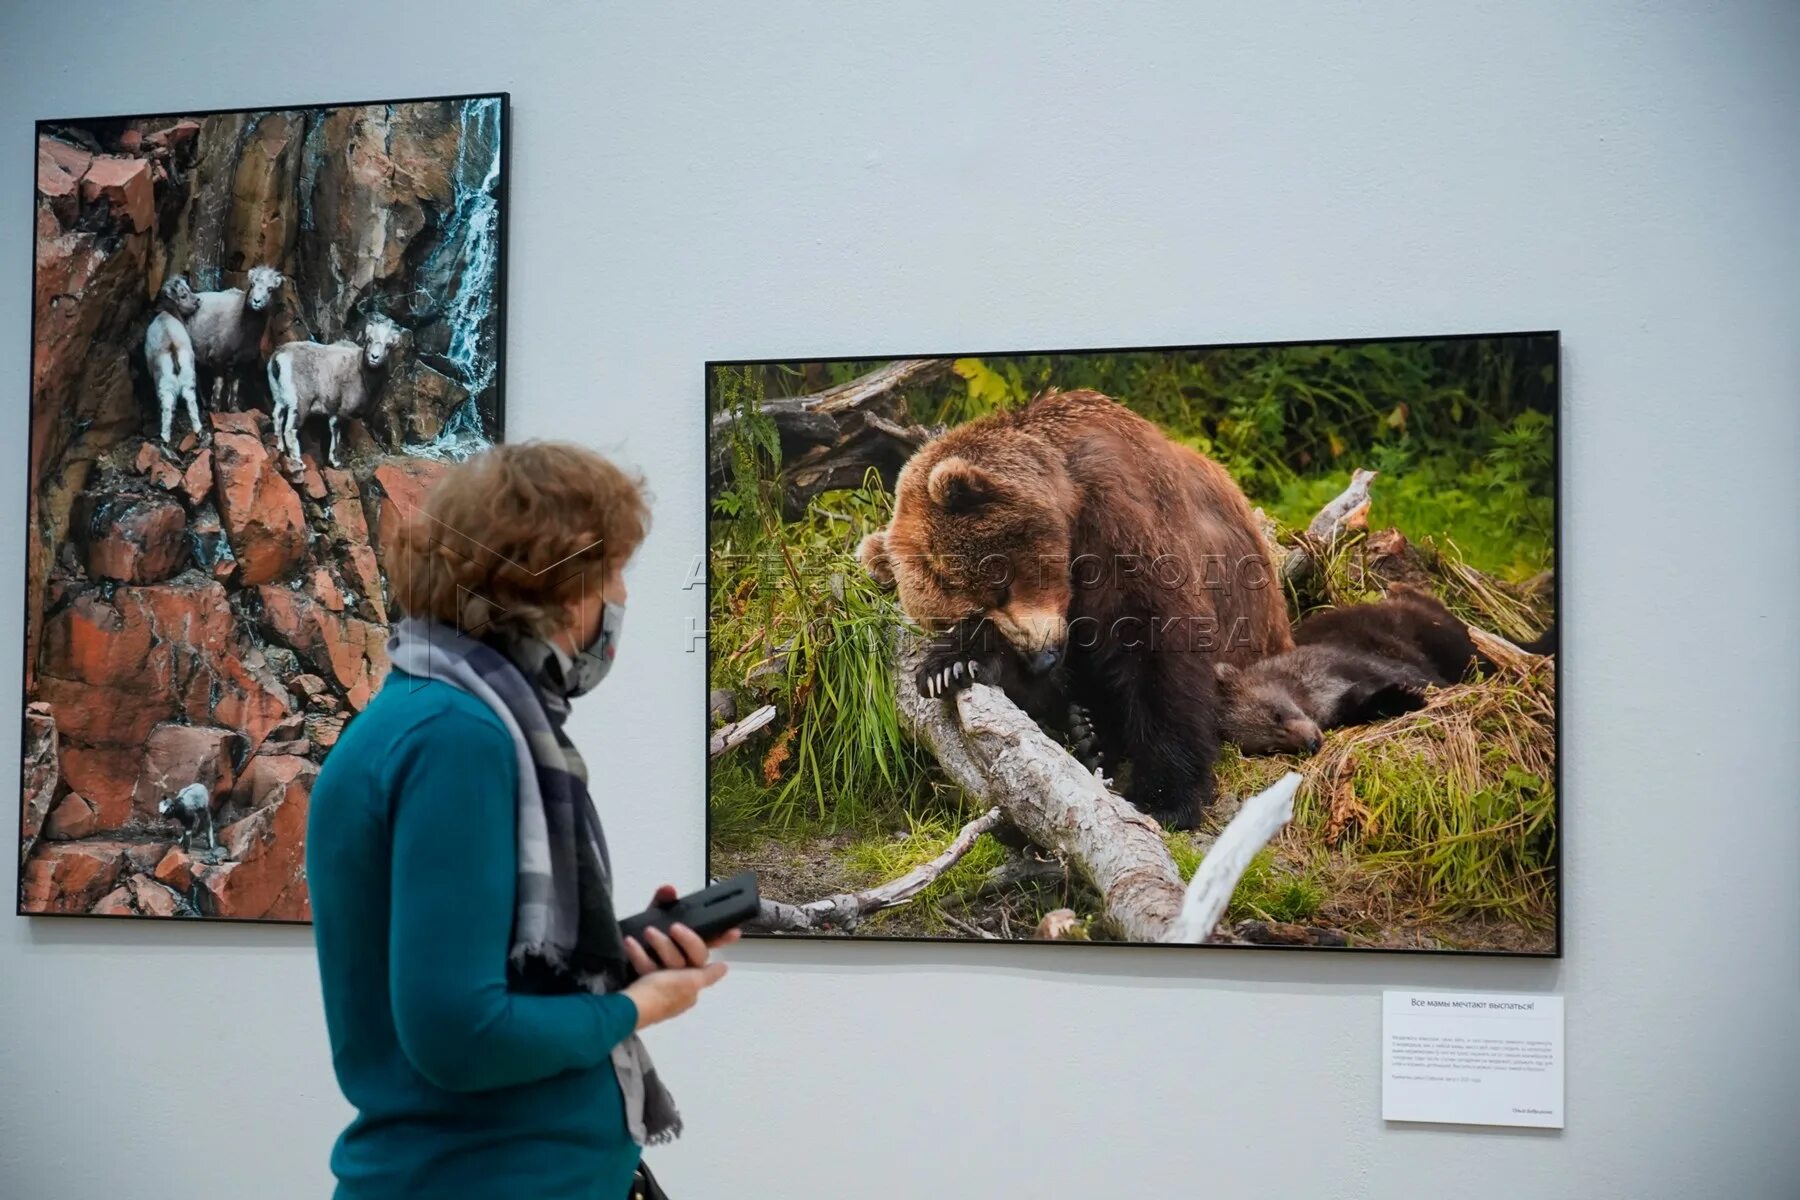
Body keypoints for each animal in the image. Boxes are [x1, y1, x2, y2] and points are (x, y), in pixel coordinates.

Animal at [186, 264, 284, 410]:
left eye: (270, 289)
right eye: (252, 284)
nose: (256, 301)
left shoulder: (242, 361)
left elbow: (235, 385)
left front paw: (233, 408)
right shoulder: (217, 357)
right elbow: (219, 384)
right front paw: (215, 407)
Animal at [264, 314, 403, 467]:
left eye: (388, 345)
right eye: (370, 340)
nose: (374, 357)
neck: (362, 373)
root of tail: (278, 357)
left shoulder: (333, 412)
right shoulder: (341, 413)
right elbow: (337, 436)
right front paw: (335, 462)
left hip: (280, 399)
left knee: (277, 418)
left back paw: (281, 448)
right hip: (300, 405)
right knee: (290, 430)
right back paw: (299, 462)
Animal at [860, 390, 1296, 831]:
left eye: (1000, 588)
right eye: (971, 613)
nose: (1041, 659)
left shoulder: (1127, 525)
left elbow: (1162, 647)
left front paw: (1164, 796)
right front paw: (952, 665)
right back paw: (1086, 732)